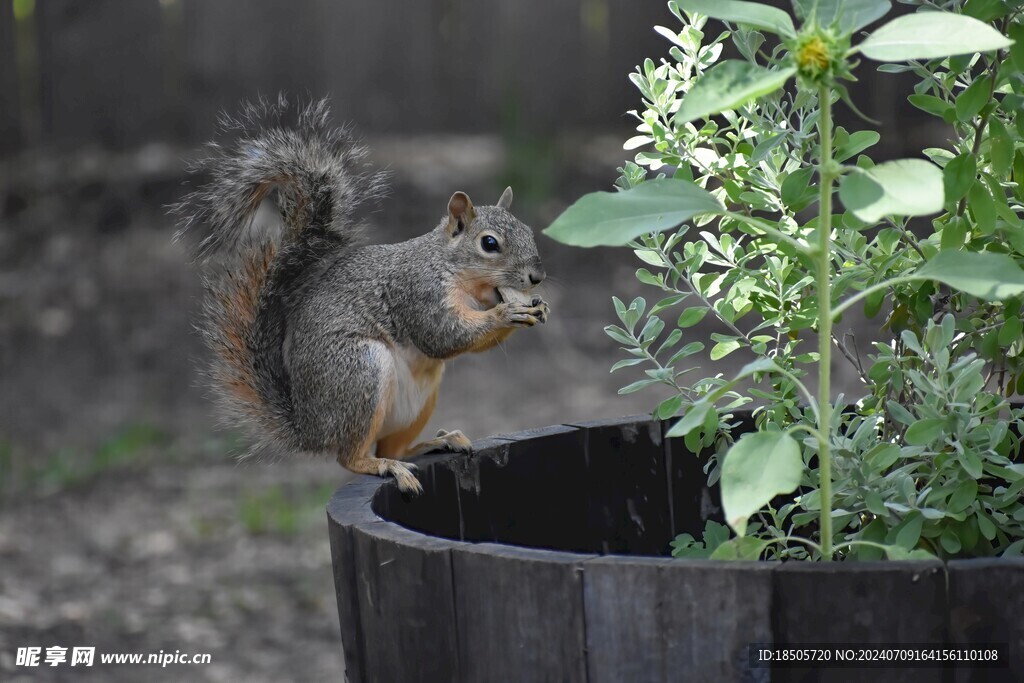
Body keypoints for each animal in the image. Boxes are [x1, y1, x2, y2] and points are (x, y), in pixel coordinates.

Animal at [172, 97, 548, 491]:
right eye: (489, 244)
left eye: (527, 230)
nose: (538, 276)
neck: (456, 272)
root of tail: (309, 429)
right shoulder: (418, 292)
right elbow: (442, 336)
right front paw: (506, 314)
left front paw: (536, 308)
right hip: (358, 373)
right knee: (350, 457)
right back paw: (384, 466)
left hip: (417, 399)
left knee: (393, 446)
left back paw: (434, 442)